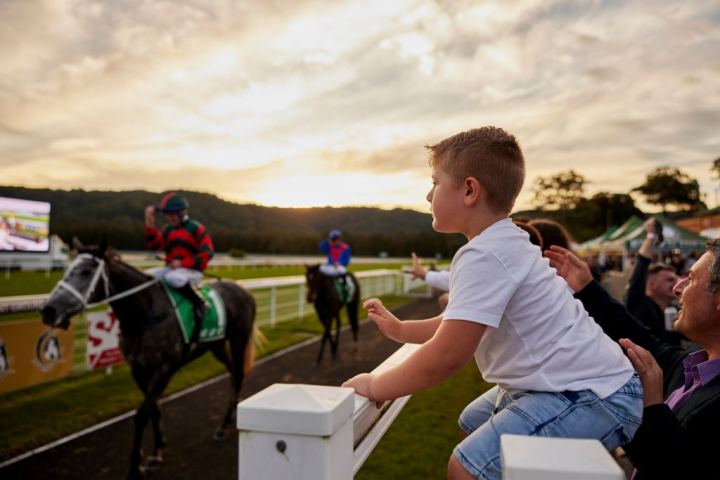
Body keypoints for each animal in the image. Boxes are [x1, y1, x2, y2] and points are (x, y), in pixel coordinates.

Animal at [40, 242, 258, 478]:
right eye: (68, 268)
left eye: (86, 271)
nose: (49, 310)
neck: (145, 316)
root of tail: (244, 289)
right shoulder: (138, 369)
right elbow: (154, 408)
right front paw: (157, 450)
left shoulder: (165, 368)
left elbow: (142, 413)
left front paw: (135, 466)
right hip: (216, 345)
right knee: (233, 373)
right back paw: (227, 419)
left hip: (238, 339)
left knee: (238, 374)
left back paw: (223, 426)